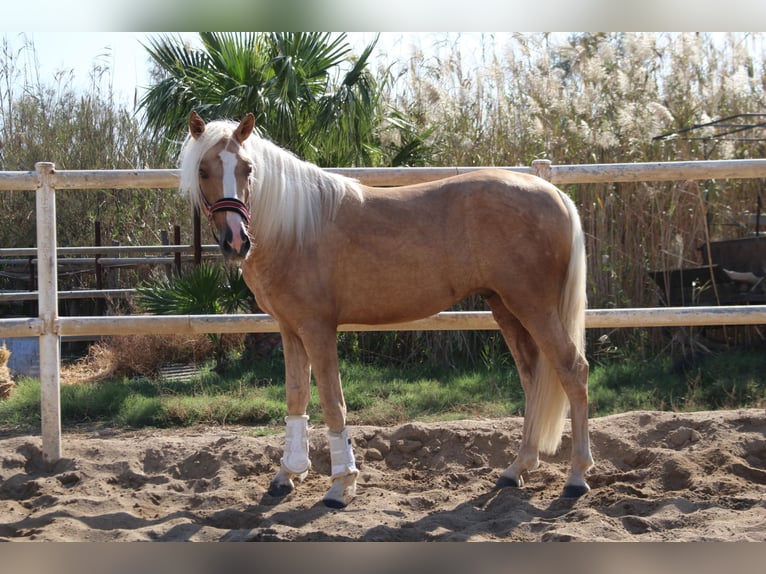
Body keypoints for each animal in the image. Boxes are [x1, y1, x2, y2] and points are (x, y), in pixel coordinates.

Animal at [178, 111, 592, 508]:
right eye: (204, 170)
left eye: (248, 169)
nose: (236, 241)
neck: (294, 226)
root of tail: (554, 193)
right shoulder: (289, 328)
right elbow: (296, 396)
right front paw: (288, 475)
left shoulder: (317, 328)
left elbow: (333, 403)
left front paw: (341, 486)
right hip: (505, 307)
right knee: (534, 378)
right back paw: (517, 468)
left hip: (535, 307)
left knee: (572, 370)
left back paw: (576, 477)